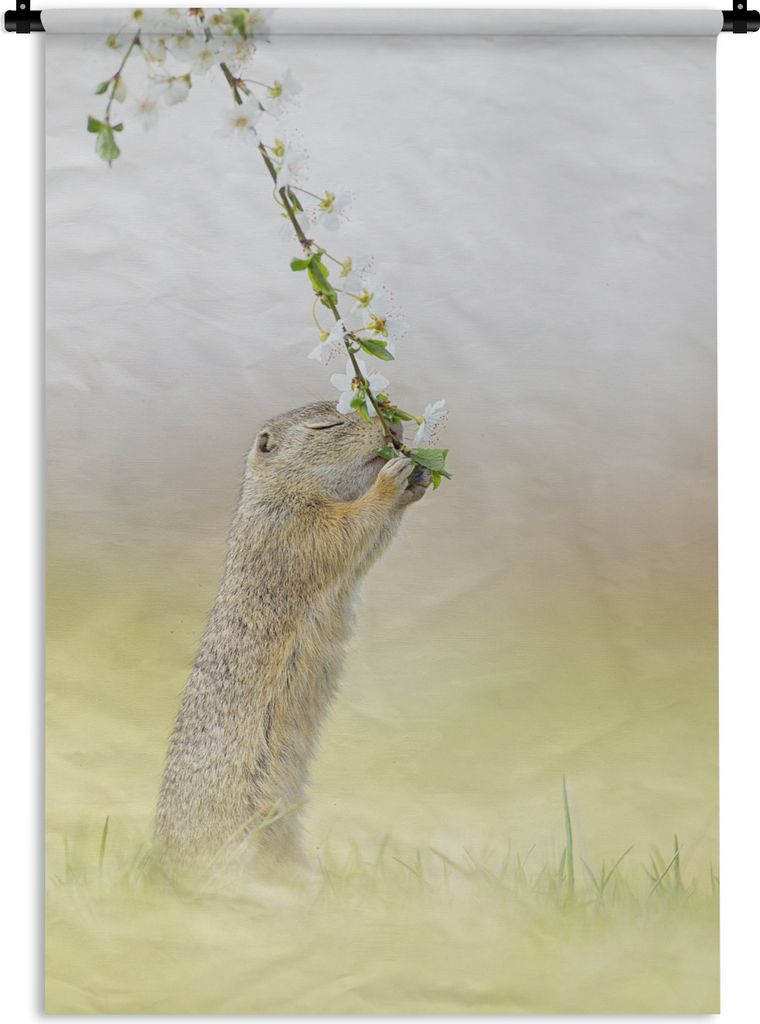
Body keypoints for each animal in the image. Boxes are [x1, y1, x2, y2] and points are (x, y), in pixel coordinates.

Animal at [154, 400, 431, 872]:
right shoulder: (292, 525)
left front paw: (420, 478)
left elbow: (367, 543)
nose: (393, 428)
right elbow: (344, 532)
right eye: (327, 424)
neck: (277, 491)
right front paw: (392, 480)